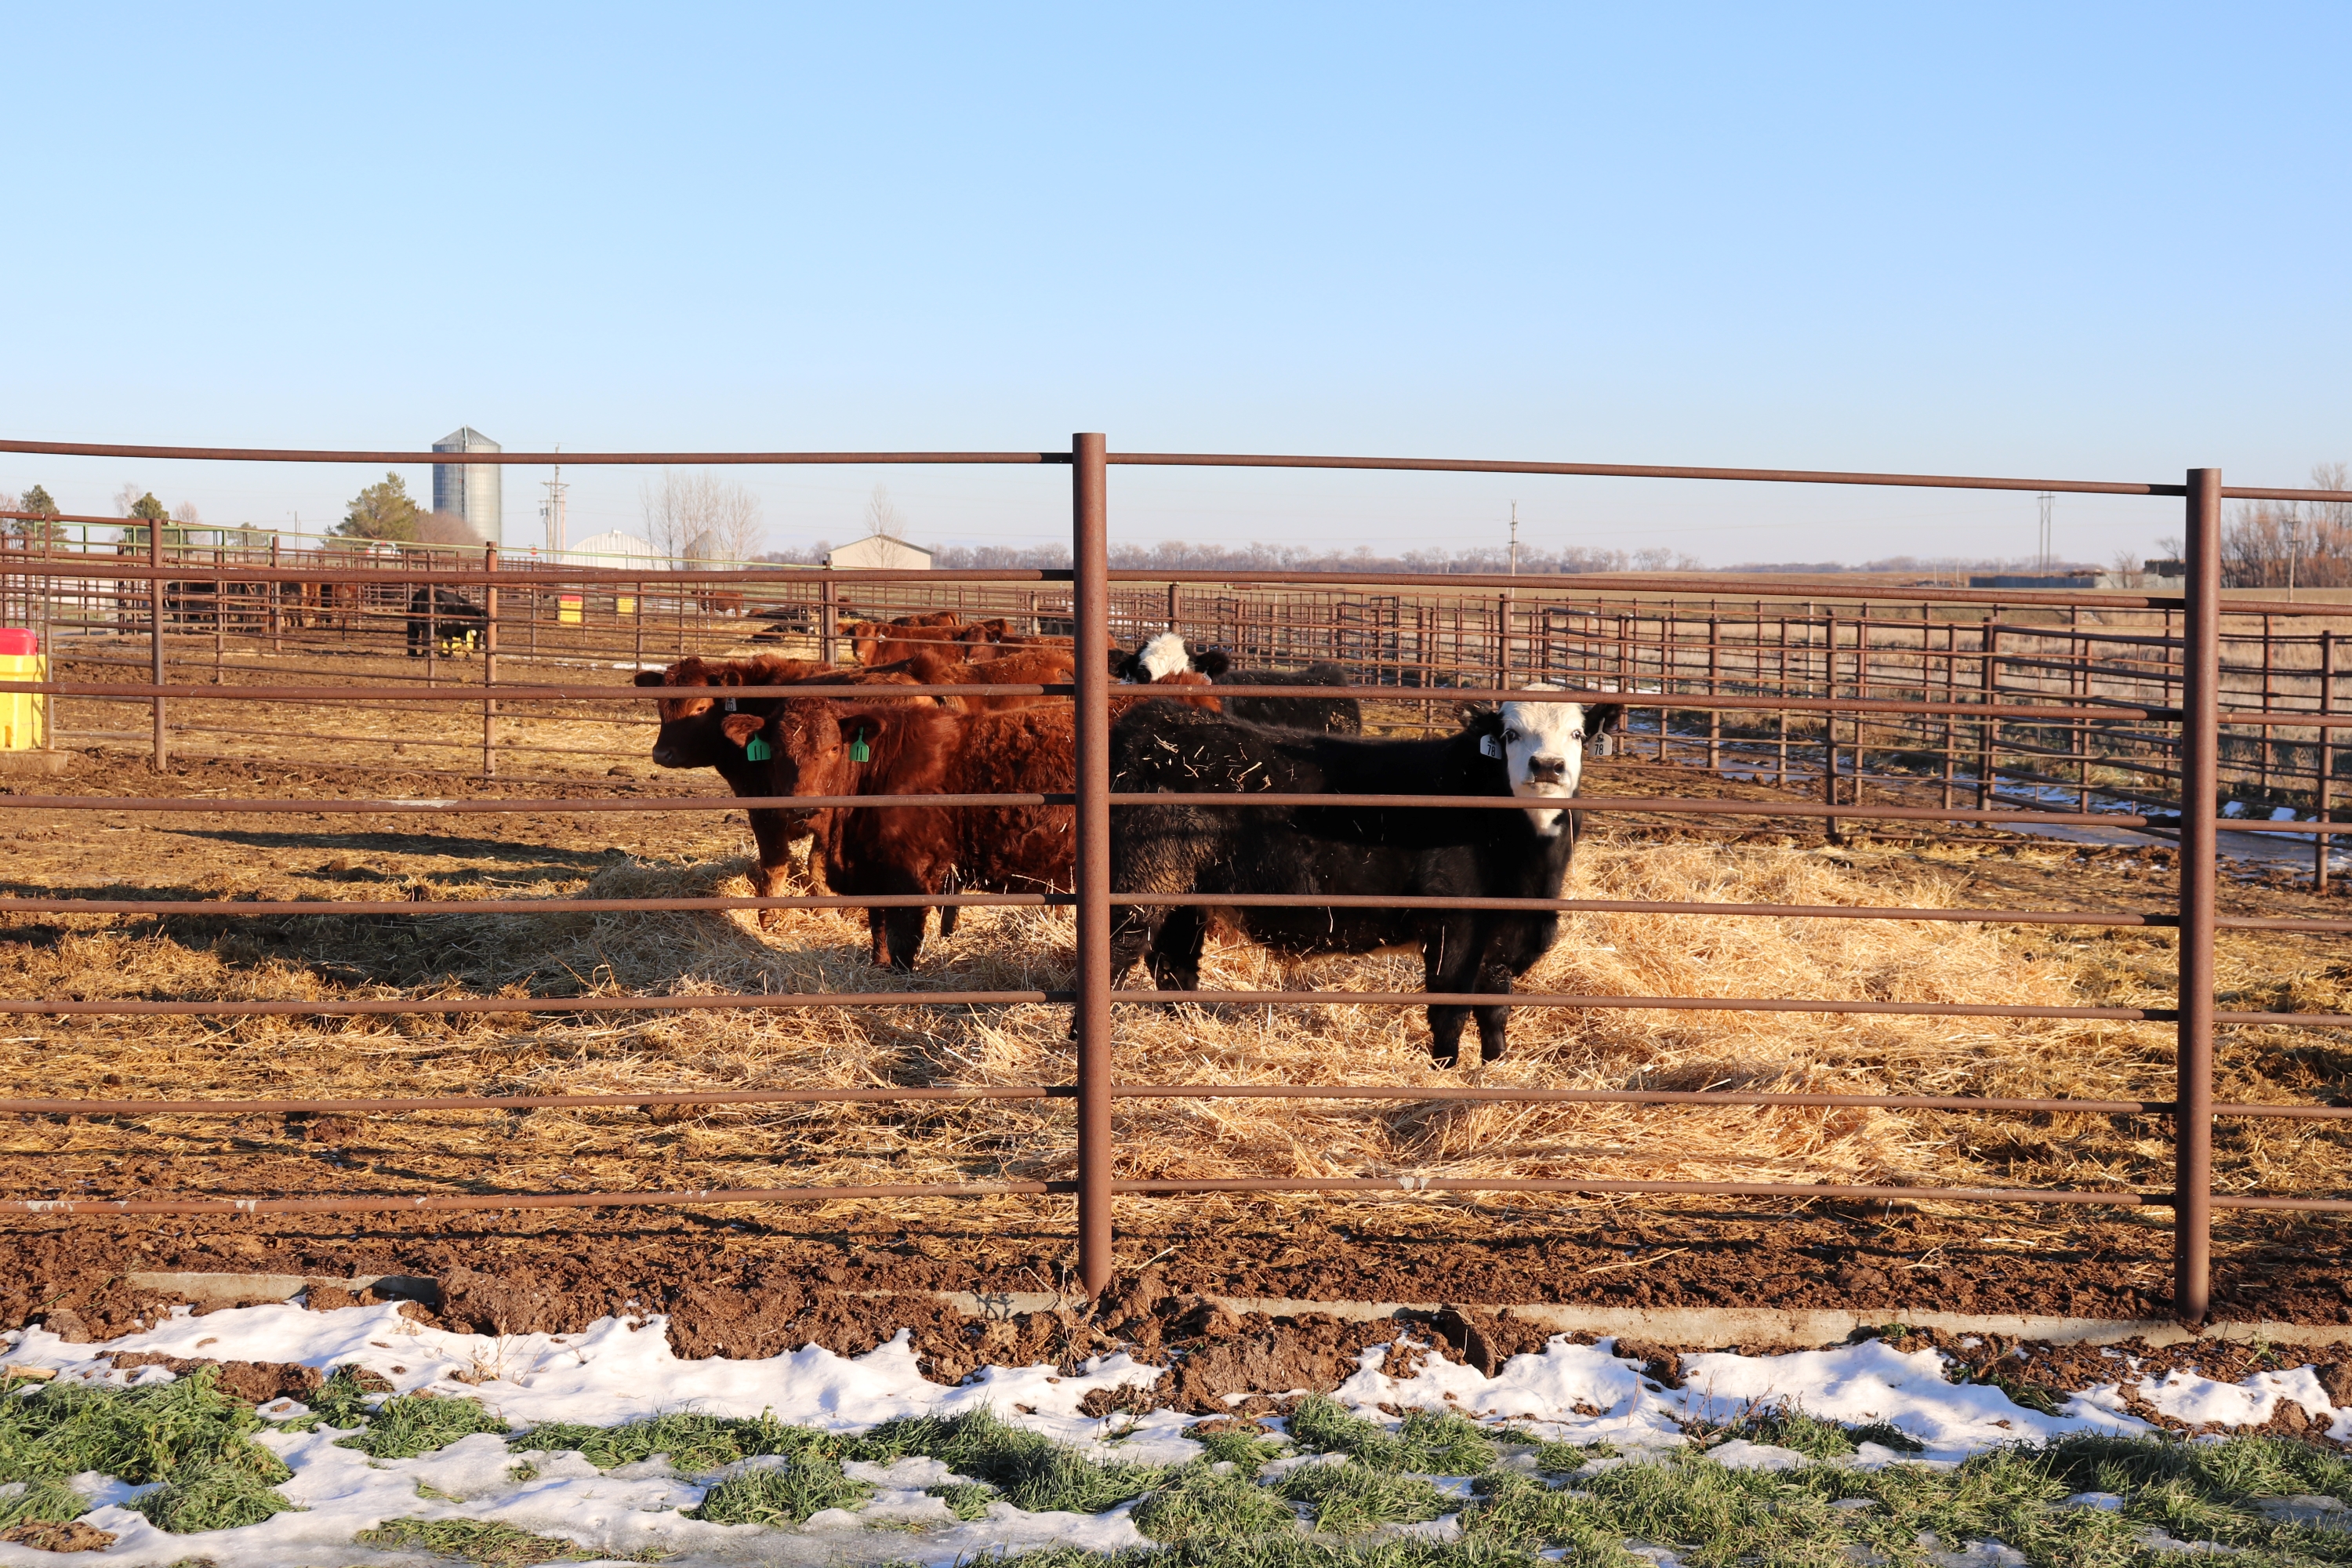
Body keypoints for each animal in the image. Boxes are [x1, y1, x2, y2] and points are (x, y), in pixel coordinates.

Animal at [1105, 691, 1618, 1072]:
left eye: (1577, 734)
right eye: (1510, 734)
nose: (1546, 766)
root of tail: (1152, 724)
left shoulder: (1502, 939)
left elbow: (1494, 1011)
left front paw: (1496, 1069)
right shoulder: (1453, 925)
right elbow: (1449, 1011)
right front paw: (1445, 1073)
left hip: (1185, 896)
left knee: (1173, 965)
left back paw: (1189, 1029)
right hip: (1140, 886)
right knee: (1119, 956)